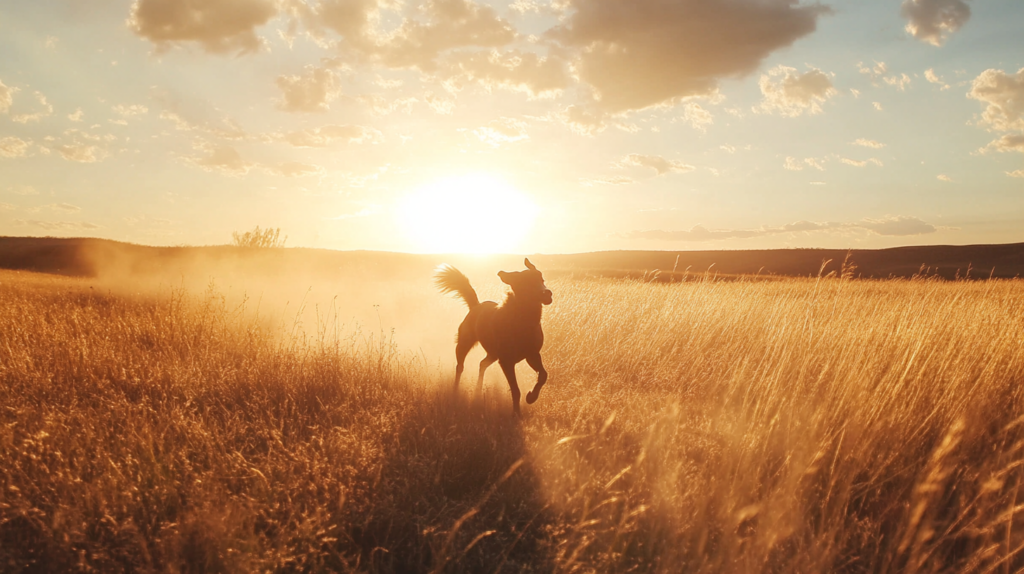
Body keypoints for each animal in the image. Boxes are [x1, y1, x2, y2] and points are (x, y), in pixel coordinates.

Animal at [438, 257, 557, 413]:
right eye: (527, 283)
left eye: (542, 279)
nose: (547, 293)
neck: (522, 323)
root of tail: (476, 305)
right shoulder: (506, 361)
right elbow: (515, 390)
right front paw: (516, 413)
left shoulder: (532, 355)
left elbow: (543, 375)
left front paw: (531, 397)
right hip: (464, 344)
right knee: (460, 367)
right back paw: (455, 391)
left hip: (492, 353)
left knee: (482, 363)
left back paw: (478, 390)